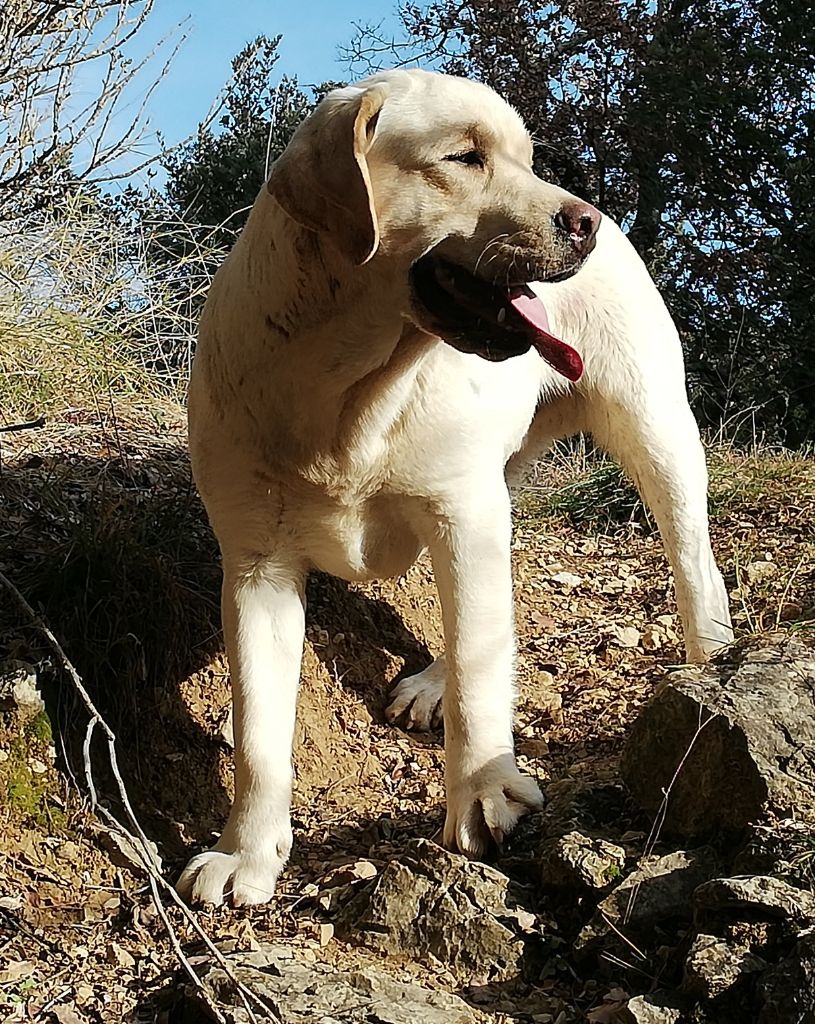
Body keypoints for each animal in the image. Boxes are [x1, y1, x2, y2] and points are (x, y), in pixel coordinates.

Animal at [178, 70, 733, 905]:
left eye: (524, 158)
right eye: (464, 157)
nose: (587, 222)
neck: (347, 387)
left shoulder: (461, 514)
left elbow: (479, 665)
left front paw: (481, 794)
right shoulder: (256, 565)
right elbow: (258, 727)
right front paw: (245, 852)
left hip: (652, 428)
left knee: (691, 561)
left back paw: (711, 663)